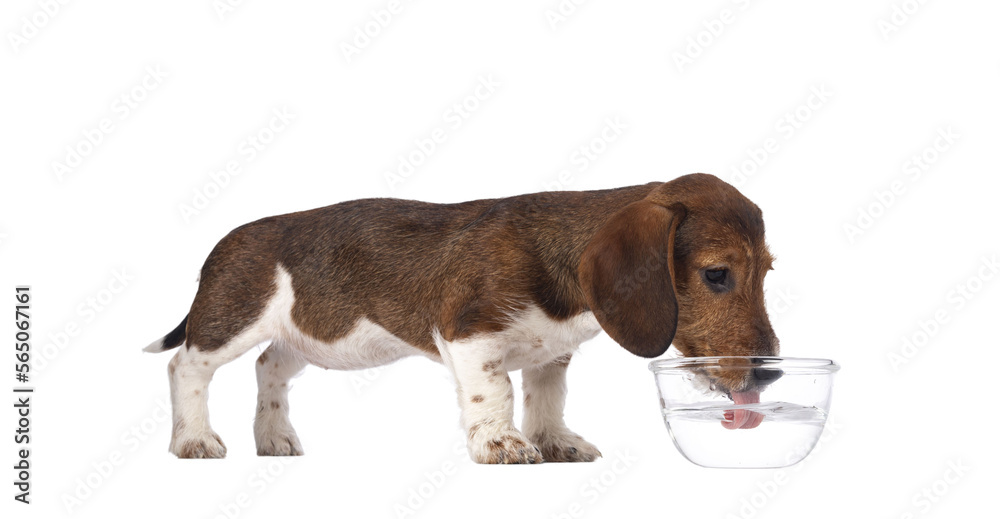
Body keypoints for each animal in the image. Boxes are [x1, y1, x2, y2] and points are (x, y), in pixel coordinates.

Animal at [145, 173, 776, 466]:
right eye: (717, 274)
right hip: (229, 319)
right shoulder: (471, 336)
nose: (770, 374)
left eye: (767, 270)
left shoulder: (552, 355)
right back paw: (194, 439)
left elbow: (546, 401)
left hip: (303, 335)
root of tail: (224, 243)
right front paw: (501, 444)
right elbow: (494, 395)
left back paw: (274, 437)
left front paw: (555, 443)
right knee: (185, 368)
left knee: (269, 369)